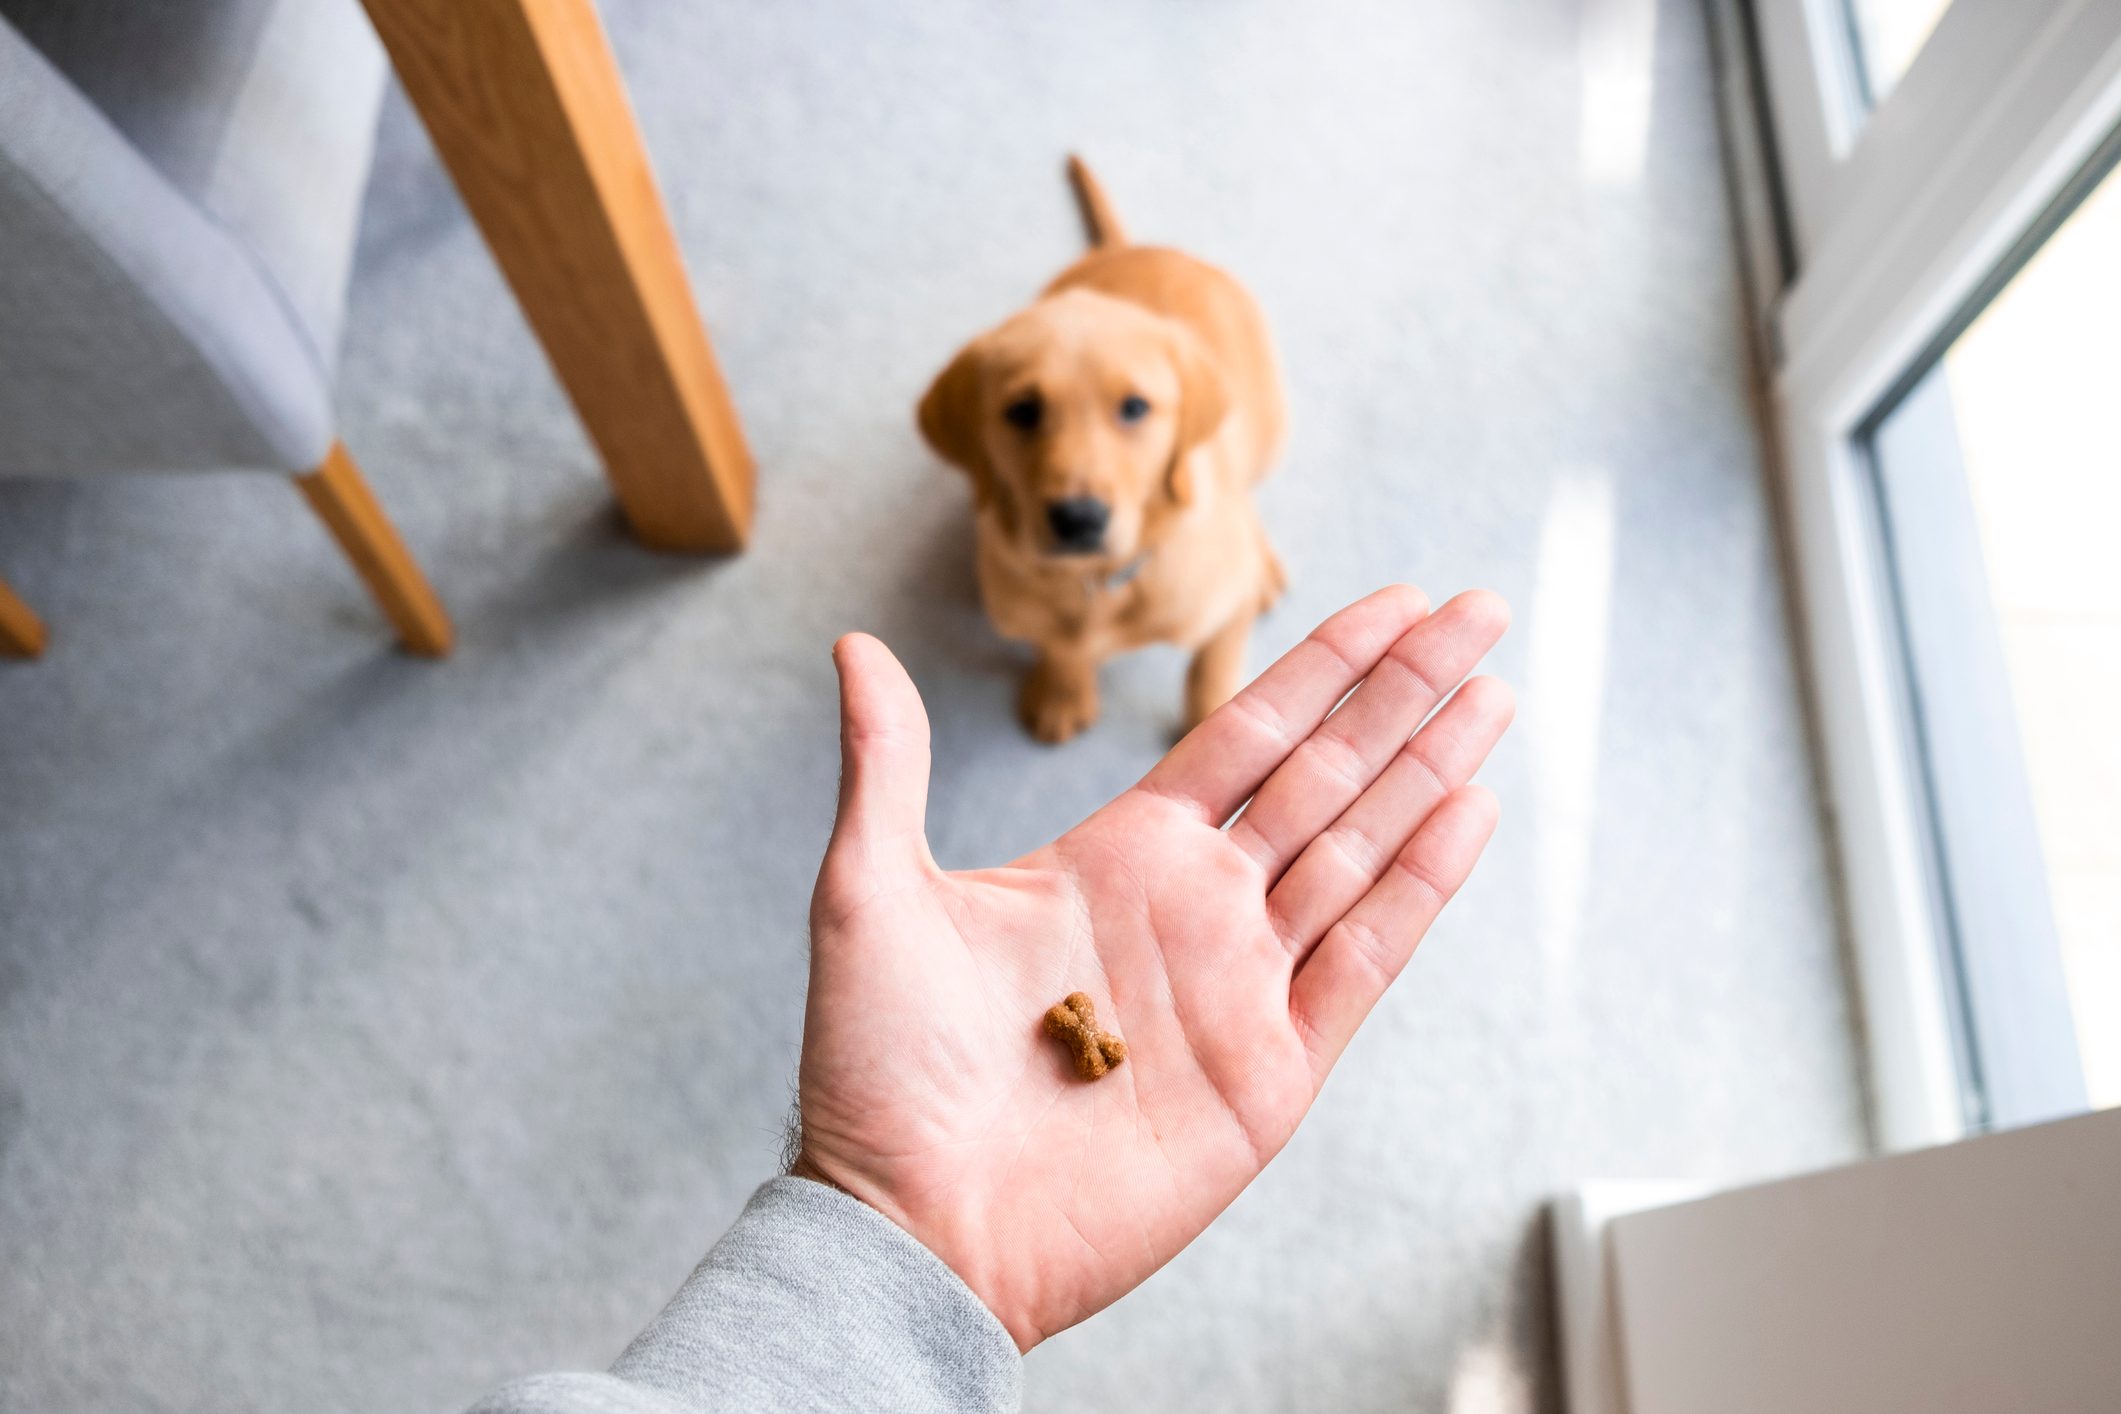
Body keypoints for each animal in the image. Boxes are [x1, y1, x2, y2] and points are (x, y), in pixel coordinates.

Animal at [920, 158, 1281, 746]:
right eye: (1022, 410)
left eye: (1134, 408)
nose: (1078, 518)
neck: (1099, 582)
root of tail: (1139, 247)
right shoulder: (1022, 606)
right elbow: (1057, 644)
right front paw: (1063, 691)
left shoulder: (1225, 612)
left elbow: (1212, 668)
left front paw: (1207, 716)